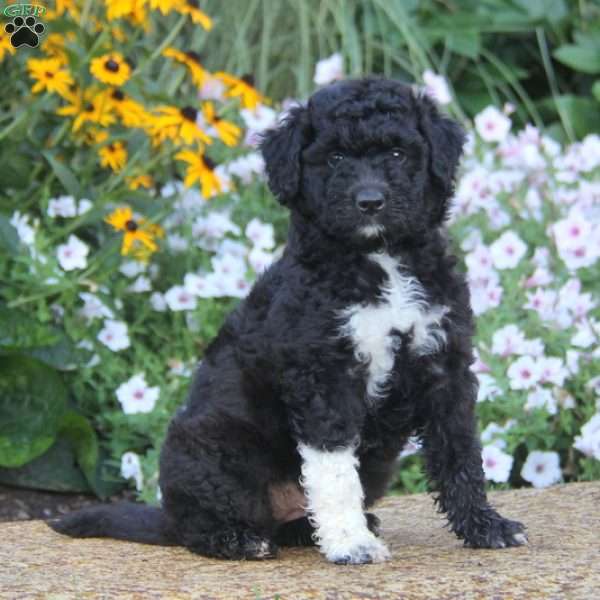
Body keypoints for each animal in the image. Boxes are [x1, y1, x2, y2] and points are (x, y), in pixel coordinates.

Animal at [52, 78, 528, 564]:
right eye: (335, 158)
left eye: (397, 153)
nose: (369, 202)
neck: (379, 259)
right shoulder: (324, 375)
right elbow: (333, 468)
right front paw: (351, 544)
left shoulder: (444, 364)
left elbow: (460, 453)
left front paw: (486, 526)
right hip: (212, 446)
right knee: (199, 524)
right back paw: (239, 539)